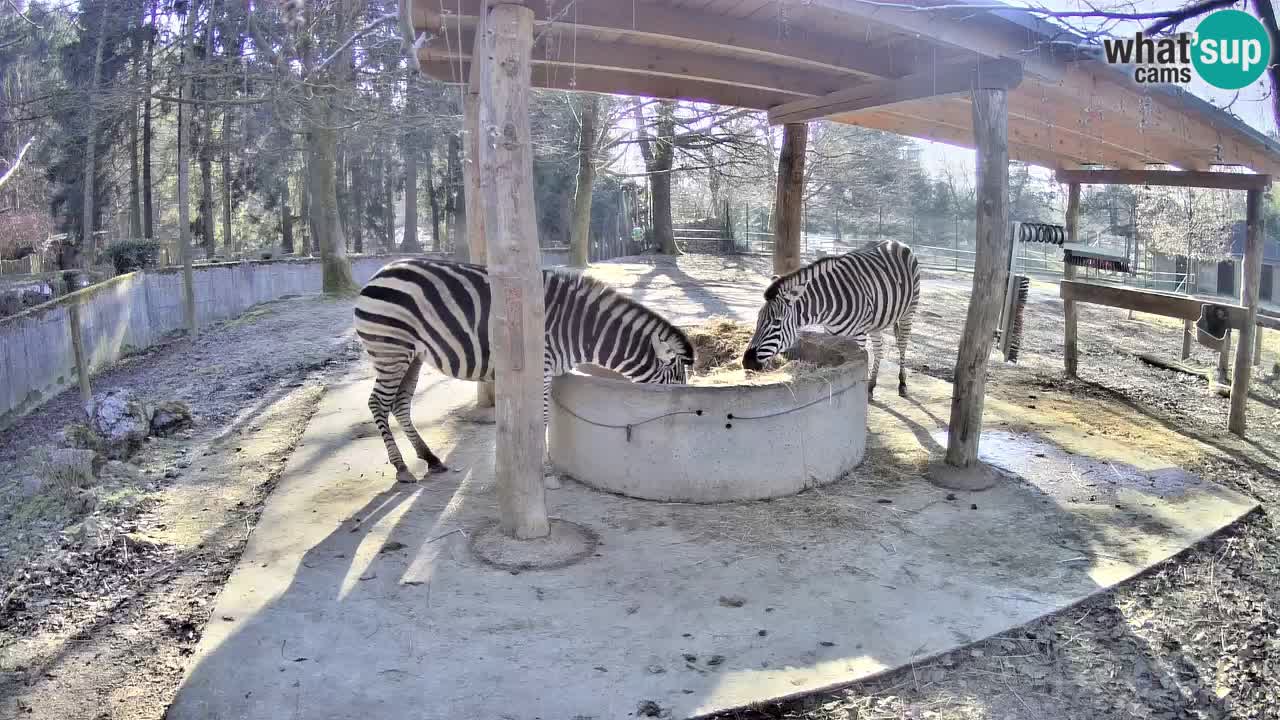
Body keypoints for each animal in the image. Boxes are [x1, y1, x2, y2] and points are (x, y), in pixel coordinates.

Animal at [350, 254, 696, 479]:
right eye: (677, 382)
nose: (681, 420)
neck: (581, 329)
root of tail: (380, 272)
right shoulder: (539, 367)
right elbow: (540, 417)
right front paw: (542, 466)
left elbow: (540, 416)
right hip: (390, 350)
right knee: (378, 403)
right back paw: (401, 468)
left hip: (412, 355)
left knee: (400, 403)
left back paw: (430, 458)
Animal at [742, 239, 921, 397]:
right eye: (758, 320)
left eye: (776, 322)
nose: (746, 362)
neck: (827, 303)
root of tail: (895, 242)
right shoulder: (831, 332)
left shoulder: (859, 336)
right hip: (876, 321)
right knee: (879, 349)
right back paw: (871, 386)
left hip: (909, 311)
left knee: (902, 344)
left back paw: (902, 384)